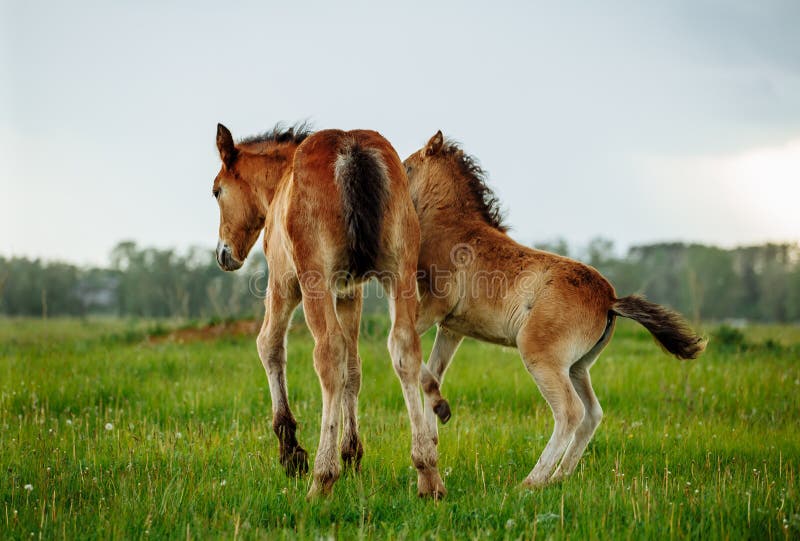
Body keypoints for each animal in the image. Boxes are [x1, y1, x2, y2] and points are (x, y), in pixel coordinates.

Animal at [211, 123, 448, 498]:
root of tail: (352, 151)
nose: (224, 253)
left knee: (329, 354)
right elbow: (354, 369)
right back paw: (427, 473)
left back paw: (322, 478)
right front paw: (352, 454)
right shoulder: (350, 292)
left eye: (217, 191)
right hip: (400, 271)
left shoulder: (283, 282)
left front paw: (291, 452)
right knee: (403, 348)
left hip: (314, 280)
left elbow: (269, 346)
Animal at [404, 131, 706, 489]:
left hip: (540, 355)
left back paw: (532, 481)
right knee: (592, 413)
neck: (453, 227)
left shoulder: (435, 306)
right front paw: (434, 431)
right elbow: (433, 372)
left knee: (570, 412)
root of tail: (609, 299)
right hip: (576, 366)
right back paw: (560, 476)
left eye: (406, 166)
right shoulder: (452, 328)